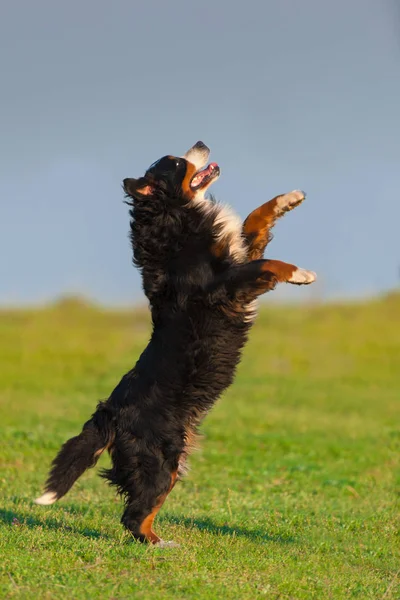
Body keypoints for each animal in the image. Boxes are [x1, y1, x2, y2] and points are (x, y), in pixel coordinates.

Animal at [35, 143, 316, 548]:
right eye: (178, 163)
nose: (200, 143)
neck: (175, 221)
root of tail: (111, 412)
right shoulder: (223, 286)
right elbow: (266, 262)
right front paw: (301, 273)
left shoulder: (236, 253)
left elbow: (255, 220)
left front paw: (289, 198)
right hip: (160, 460)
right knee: (134, 515)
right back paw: (162, 546)